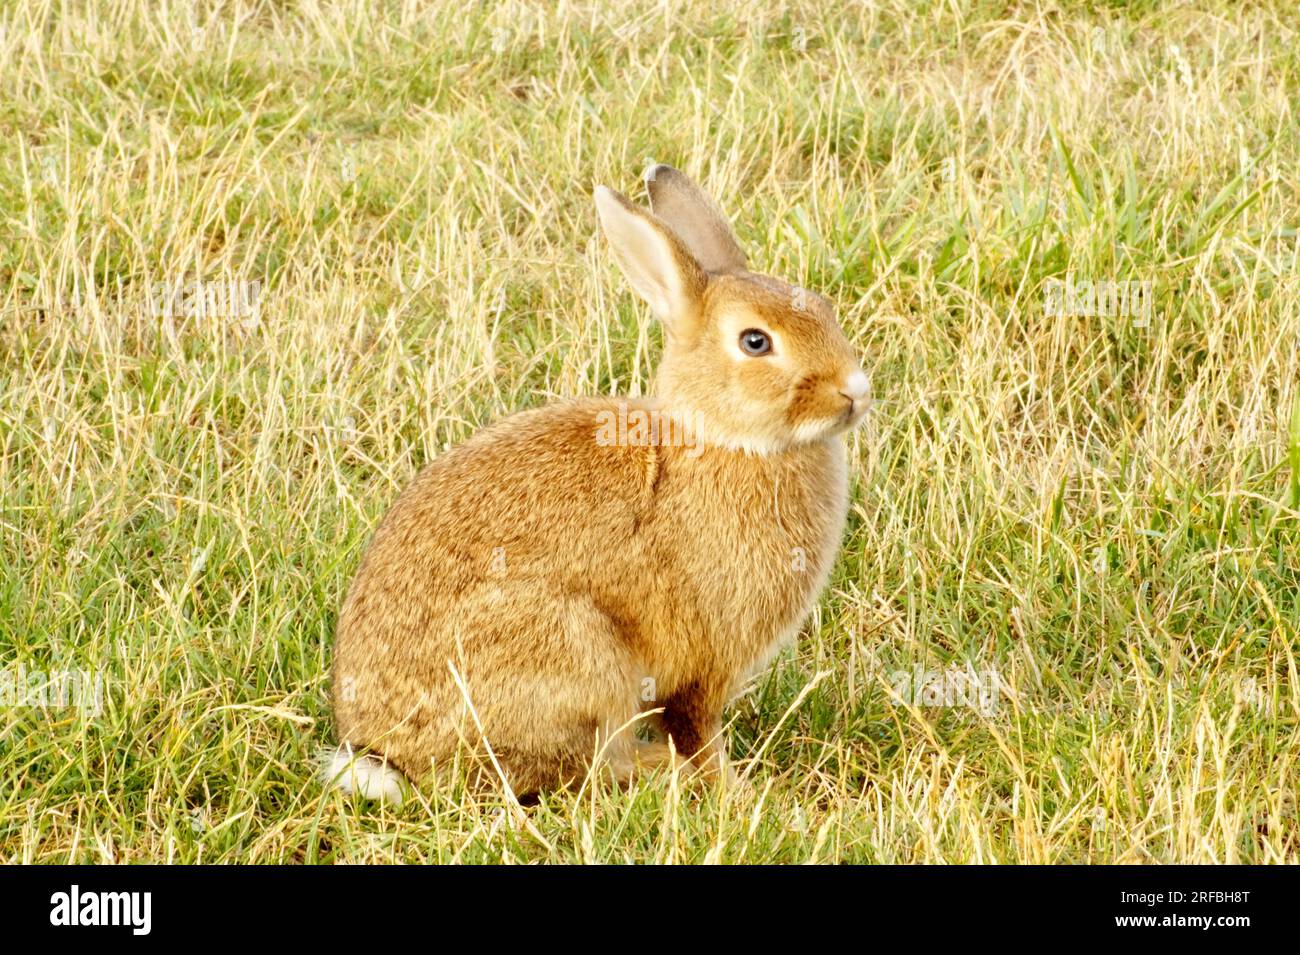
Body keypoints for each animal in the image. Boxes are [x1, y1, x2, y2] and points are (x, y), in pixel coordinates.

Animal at [323, 165, 871, 804]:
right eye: (755, 342)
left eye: (826, 309)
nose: (855, 390)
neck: (725, 437)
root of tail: (388, 757)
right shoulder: (702, 664)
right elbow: (696, 729)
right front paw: (732, 789)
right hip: (575, 655)